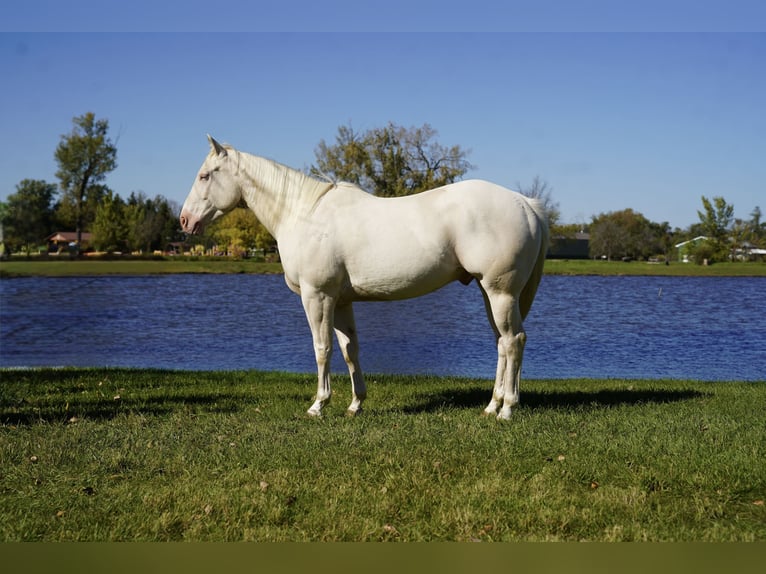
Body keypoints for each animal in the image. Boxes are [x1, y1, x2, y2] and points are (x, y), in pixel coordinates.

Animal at [180, 136, 549, 420]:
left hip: (500, 292)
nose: (185, 220)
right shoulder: (341, 300)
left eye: (205, 176)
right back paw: (491, 405)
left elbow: (322, 348)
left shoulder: (317, 296)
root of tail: (525, 203)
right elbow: (349, 350)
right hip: (491, 293)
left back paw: (507, 409)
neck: (303, 214)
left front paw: (318, 405)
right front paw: (355, 404)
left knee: (513, 341)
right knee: (502, 342)